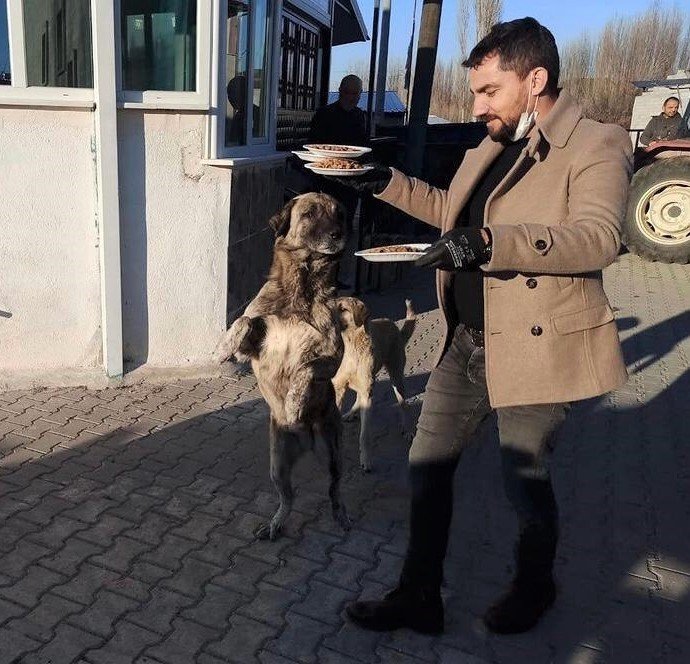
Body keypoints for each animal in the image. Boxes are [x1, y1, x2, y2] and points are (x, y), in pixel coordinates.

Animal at [332, 296, 414, 472]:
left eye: (343, 309)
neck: (351, 344)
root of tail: (393, 325)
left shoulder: (367, 392)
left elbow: (364, 436)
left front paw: (366, 459)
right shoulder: (339, 388)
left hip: (396, 377)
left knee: (404, 405)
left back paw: (408, 429)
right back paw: (351, 413)